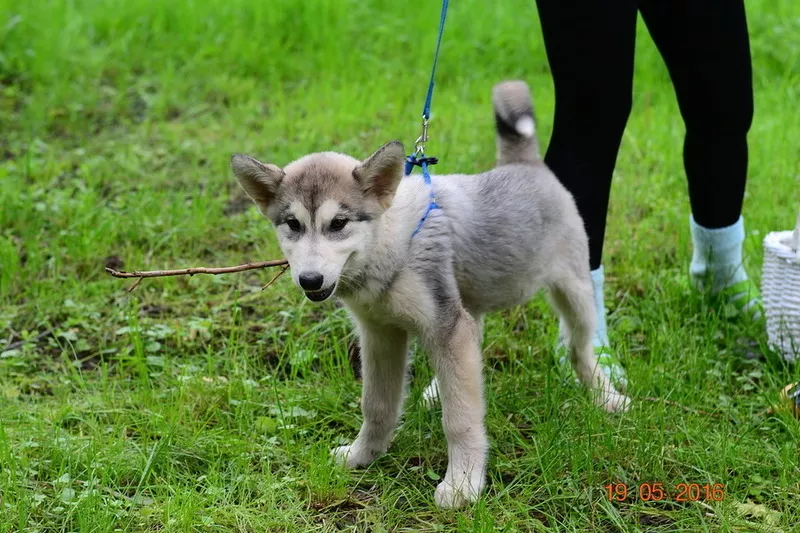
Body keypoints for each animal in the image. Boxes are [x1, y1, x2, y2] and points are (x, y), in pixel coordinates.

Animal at [230, 79, 632, 508]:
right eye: (292, 224)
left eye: (338, 224)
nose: (309, 280)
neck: (393, 248)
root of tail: (525, 165)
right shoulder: (381, 335)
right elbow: (377, 405)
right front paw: (363, 455)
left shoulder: (445, 328)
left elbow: (461, 419)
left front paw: (463, 484)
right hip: (466, 303)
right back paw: (439, 390)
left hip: (573, 293)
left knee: (579, 348)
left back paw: (606, 397)